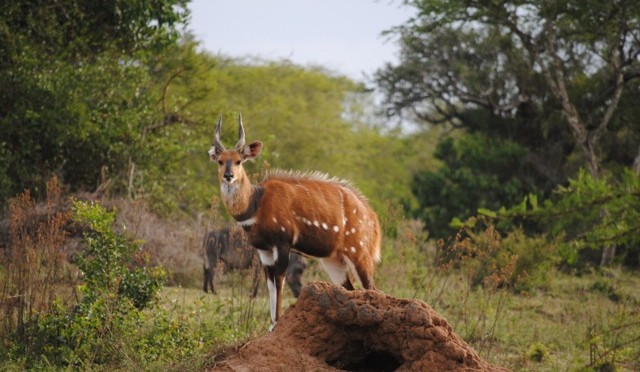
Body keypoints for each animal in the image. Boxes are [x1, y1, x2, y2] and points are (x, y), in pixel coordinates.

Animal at [209, 115, 380, 330]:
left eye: (239, 161)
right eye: (221, 161)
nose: (228, 176)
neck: (256, 203)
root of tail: (372, 218)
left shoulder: (283, 243)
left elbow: (280, 280)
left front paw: (276, 324)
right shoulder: (264, 251)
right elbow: (270, 284)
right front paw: (271, 325)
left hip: (359, 253)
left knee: (372, 288)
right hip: (333, 260)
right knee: (350, 288)